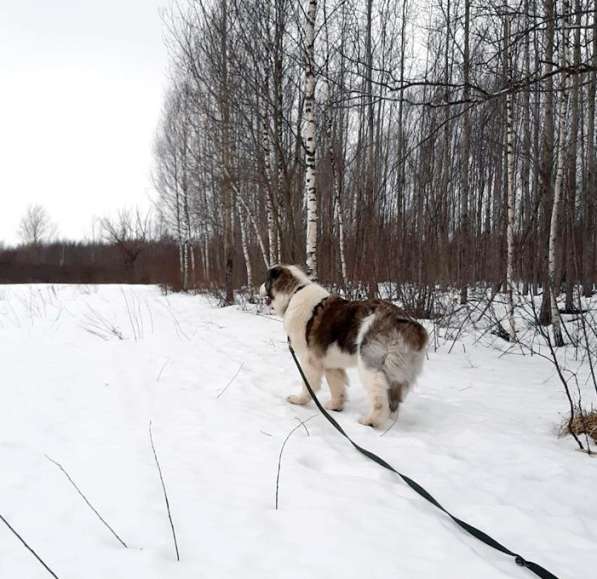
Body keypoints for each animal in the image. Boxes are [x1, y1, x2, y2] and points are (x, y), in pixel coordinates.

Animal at [258, 266, 426, 428]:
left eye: (266, 281)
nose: (259, 288)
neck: (294, 293)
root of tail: (409, 325)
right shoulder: (331, 365)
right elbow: (337, 386)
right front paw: (336, 406)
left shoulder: (309, 361)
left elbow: (309, 385)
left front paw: (299, 400)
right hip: (398, 373)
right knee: (394, 401)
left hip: (370, 366)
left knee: (380, 400)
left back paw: (371, 421)